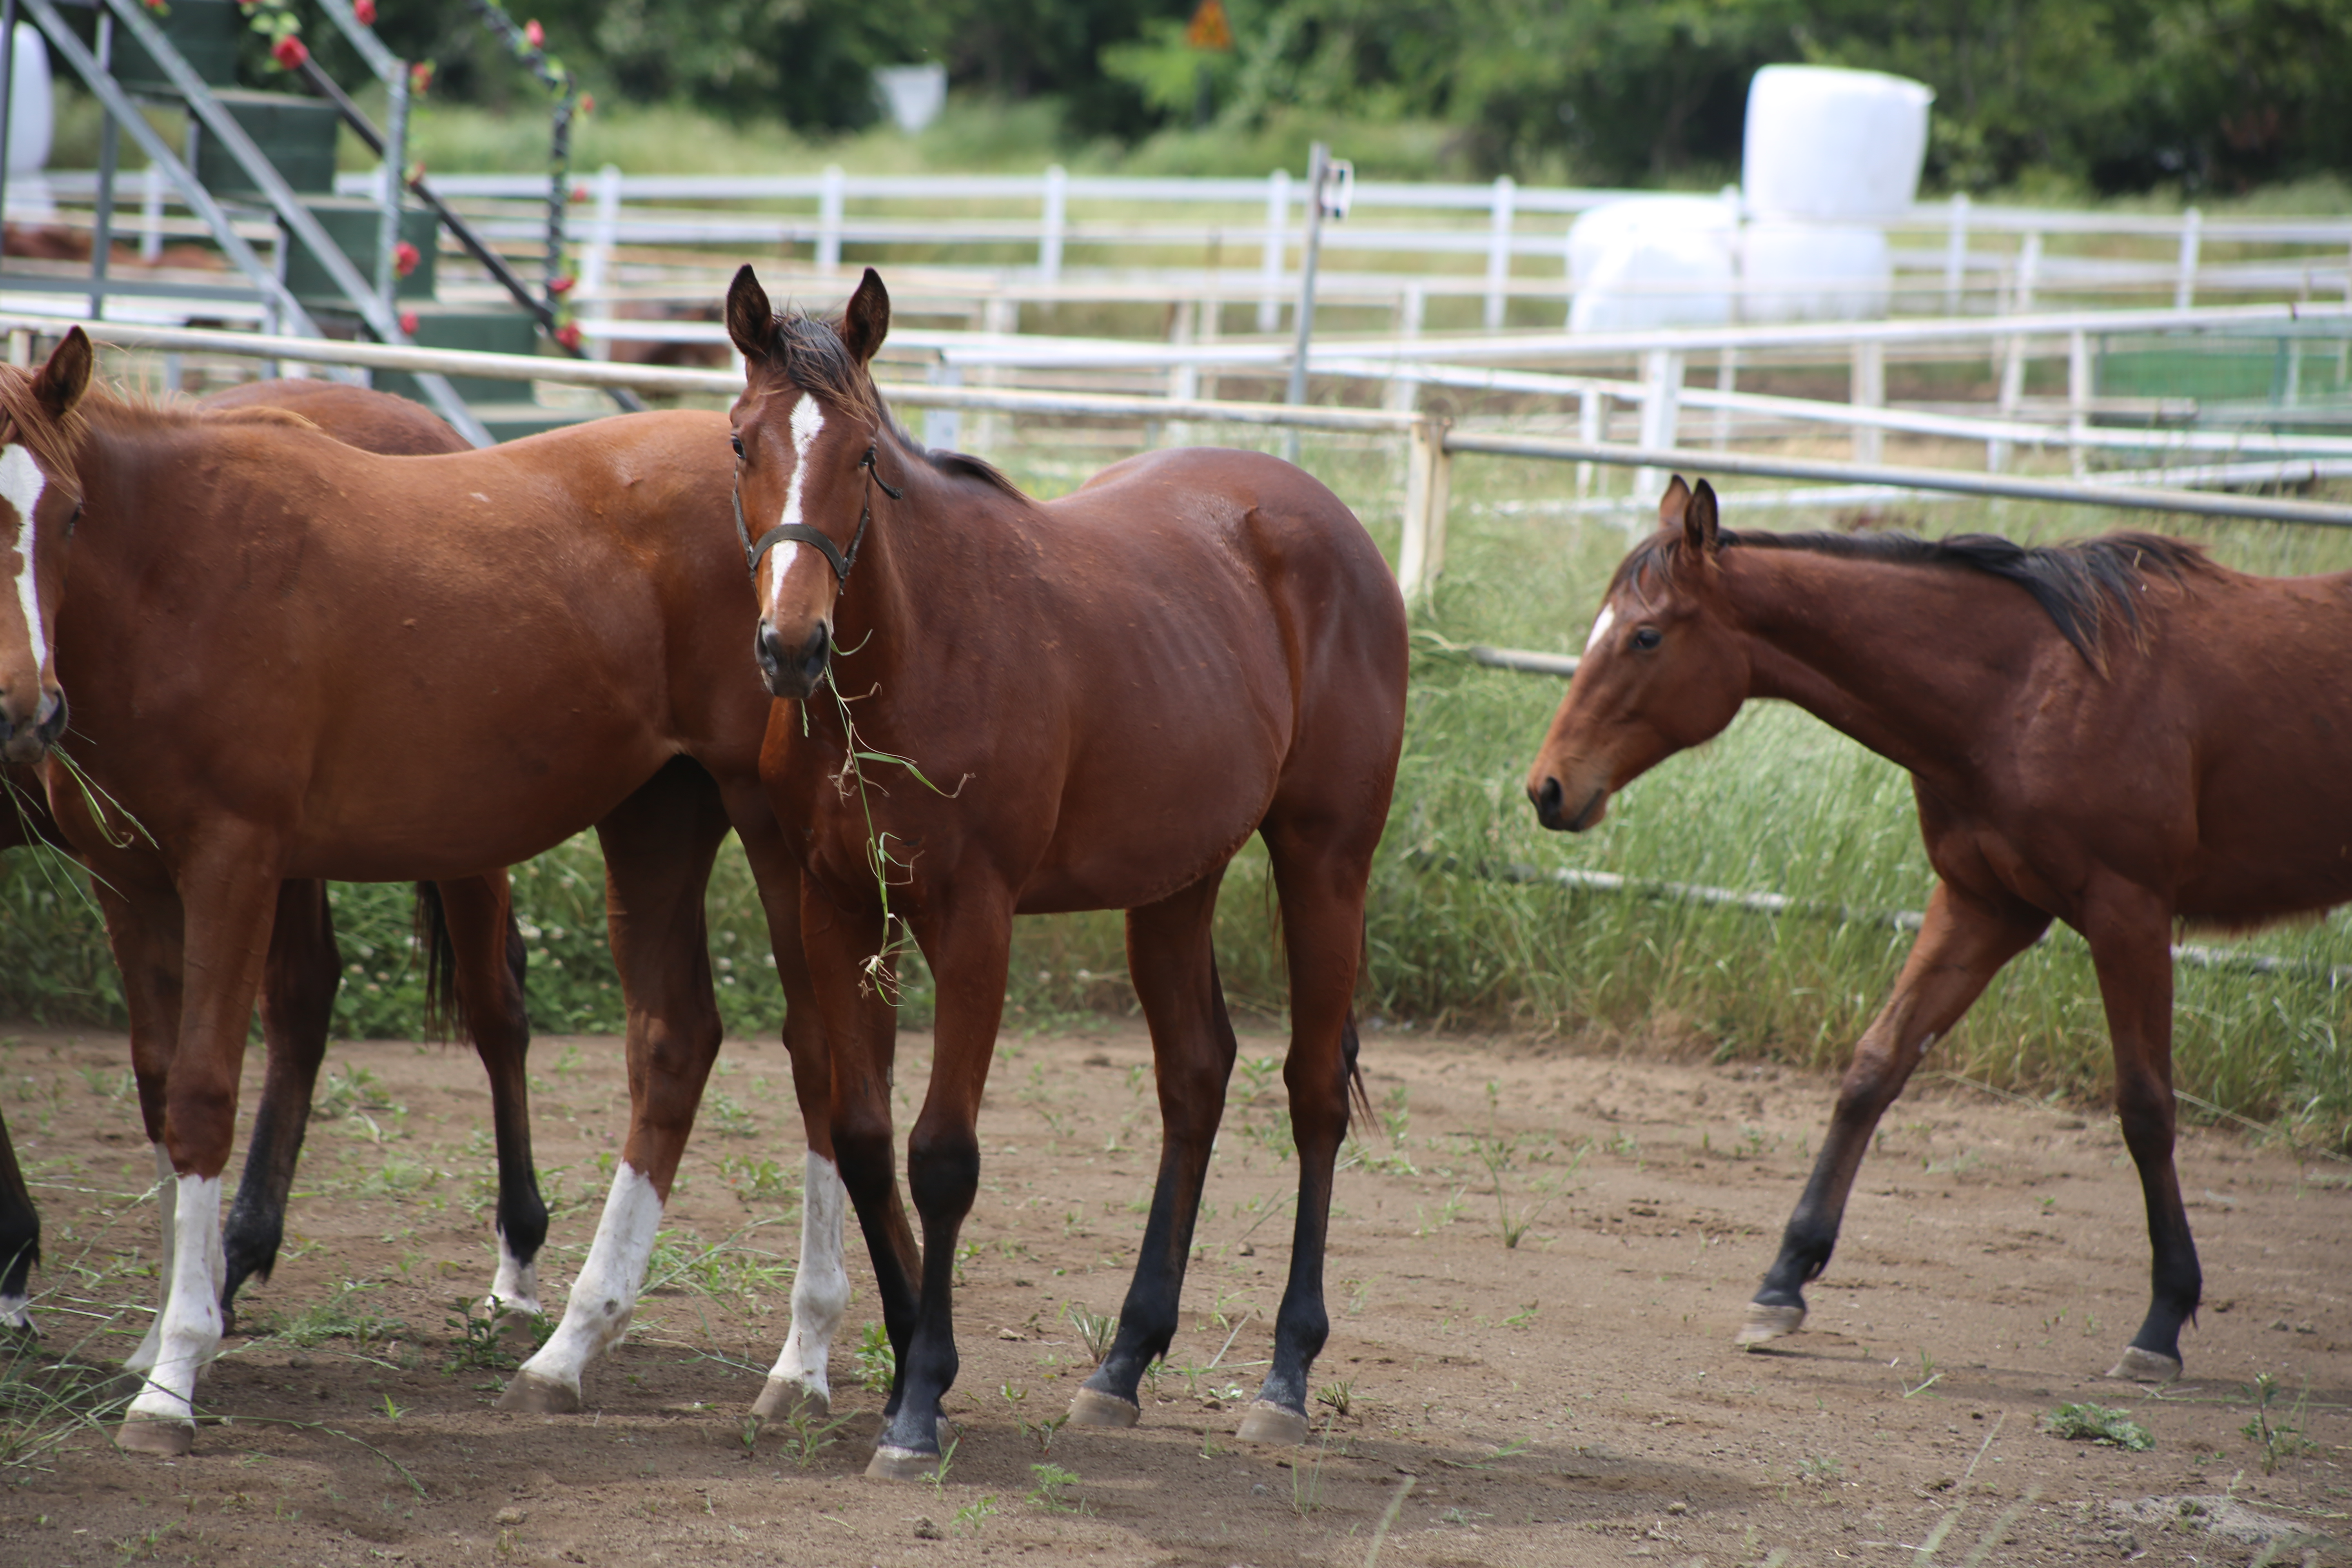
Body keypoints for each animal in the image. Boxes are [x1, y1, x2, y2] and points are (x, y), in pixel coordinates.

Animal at [11, 345, 828, 1457]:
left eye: (68, 514)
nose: (23, 707)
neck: (174, 571)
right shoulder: (128, 880)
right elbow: (156, 1086)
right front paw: (157, 1339)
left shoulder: (233, 863)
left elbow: (204, 1092)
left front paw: (173, 1377)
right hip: (656, 816)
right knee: (672, 1042)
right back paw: (568, 1350)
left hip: (768, 828)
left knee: (823, 1048)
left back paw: (801, 1361)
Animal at [724, 263, 1401, 1476]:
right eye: (741, 442)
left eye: (863, 455)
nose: (792, 646)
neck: (920, 648)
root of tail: (1325, 522)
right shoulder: (835, 906)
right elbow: (862, 1139)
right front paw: (908, 1362)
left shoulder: (975, 919)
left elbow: (942, 1155)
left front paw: (919, 1403)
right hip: (1174, 882)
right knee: (1195, 1077)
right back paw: (1123, 1364)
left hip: (1325, 858)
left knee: (1313, 1092)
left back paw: (1284, 1376)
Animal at [1524, 472, 2352, 1382]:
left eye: (1645, 636)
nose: (1547, 788)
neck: (2031, 688)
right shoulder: (1981, 905)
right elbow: (1874, 1067)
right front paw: (1783, 1282)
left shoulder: (2128, 912)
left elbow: (2145, 1107)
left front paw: (2163, 1320)